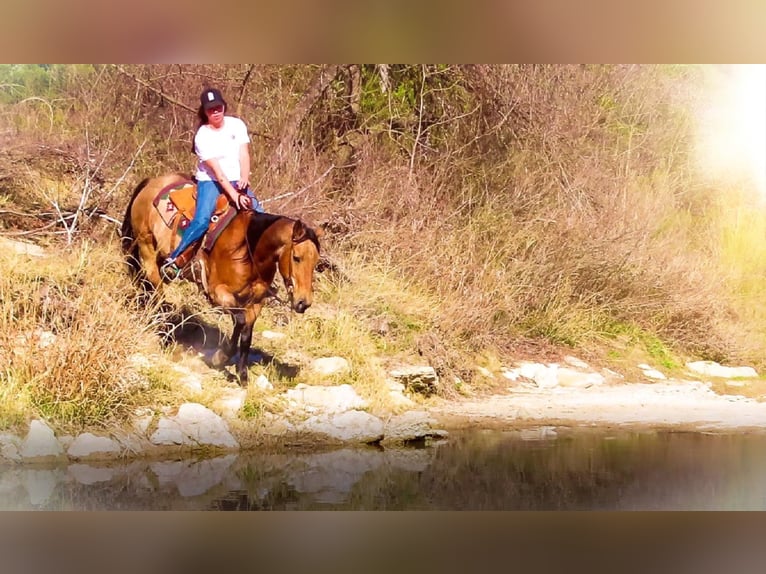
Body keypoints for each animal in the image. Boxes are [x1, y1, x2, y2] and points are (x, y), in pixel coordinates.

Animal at [123, 172, 320, 388]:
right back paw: (165, 333)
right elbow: (240, 322)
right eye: (297, 258)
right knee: (156, 291)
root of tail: (152, 182)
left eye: (316, 262)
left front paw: (242, 374)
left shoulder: (255, 302)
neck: (248, 250)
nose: (303, 302)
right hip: (147, 250)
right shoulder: (218, 293)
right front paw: (221, 357)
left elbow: (246, 335)